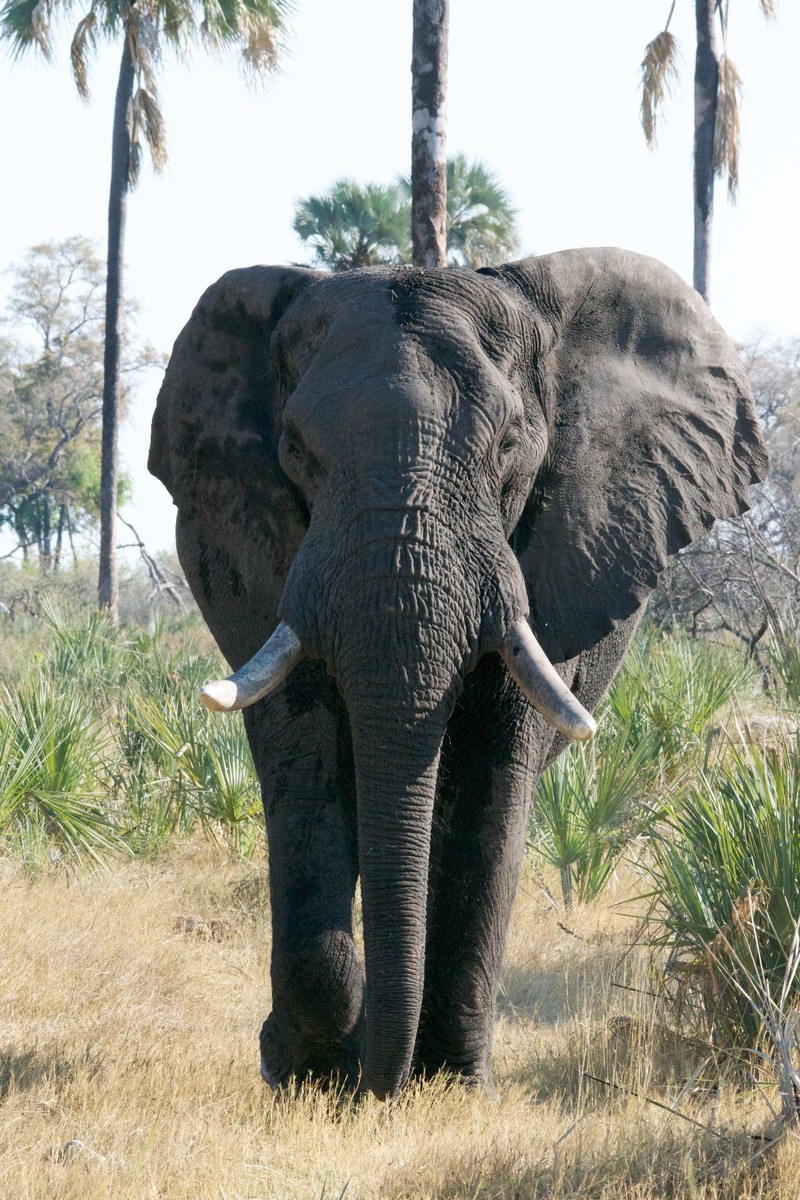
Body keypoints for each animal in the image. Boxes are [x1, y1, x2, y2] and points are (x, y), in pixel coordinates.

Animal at [148, 247, 767, 1099]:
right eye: (296, 451)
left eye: (510, 446)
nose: (379, 1079)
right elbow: (304, 751)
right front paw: (311, 1076)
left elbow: (492, 773)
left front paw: (449, 1082)